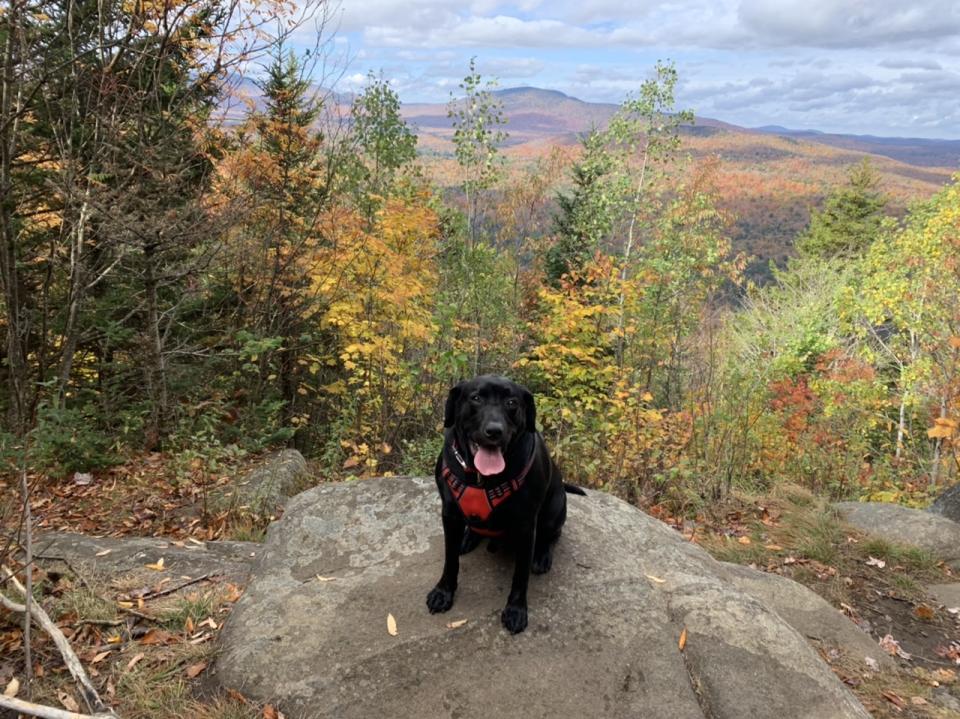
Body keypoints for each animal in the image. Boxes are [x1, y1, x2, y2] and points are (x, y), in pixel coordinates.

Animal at [428, 374, 584, 632]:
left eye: (512, 403)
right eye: (476, 398)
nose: (494, 431)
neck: (482, 478)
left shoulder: (525, 527)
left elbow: (520, 576)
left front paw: (516, 609)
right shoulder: (449, 515)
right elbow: (450, 560)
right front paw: (443, 592)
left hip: (554, 510)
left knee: (553, 535)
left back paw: (542, 555)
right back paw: (469, 537)